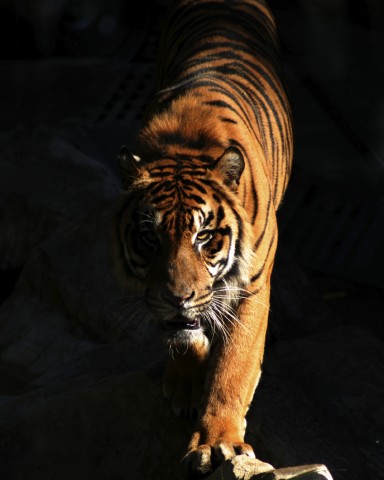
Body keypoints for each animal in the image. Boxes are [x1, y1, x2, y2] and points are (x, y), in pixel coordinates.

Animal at [112, 0, 292, 476]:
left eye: (204, 236)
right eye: (149, 238)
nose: (179, 296)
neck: (183, 148)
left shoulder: (252, 287)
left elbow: (233, 369)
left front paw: (217, 443)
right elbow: (183, 333)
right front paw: (184, 383)